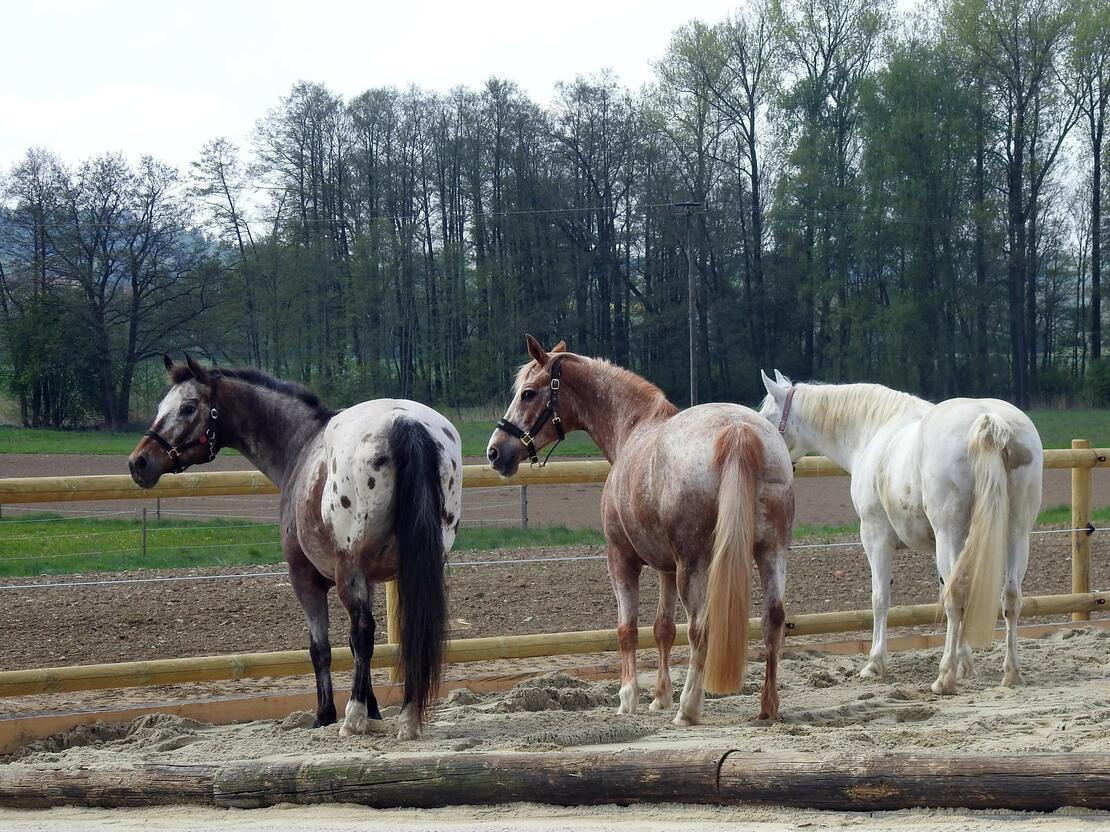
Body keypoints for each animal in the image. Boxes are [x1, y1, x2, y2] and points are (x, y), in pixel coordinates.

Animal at [128, 355, 463, 739]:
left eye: (188, 407)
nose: (139, 462)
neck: (302, 444)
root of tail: (404, 422)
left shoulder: (306, 579)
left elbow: (323, 648)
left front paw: (327, 713)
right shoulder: (371, 579)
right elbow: (355, 646)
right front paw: (375, 711)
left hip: (349, 570)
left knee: (363, 632)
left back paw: (353, 718)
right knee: (409, 632)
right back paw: (407, 717)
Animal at [486, 337, 794, 724]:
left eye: (528, 393)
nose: (495, 452)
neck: (632, 427)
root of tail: (738, 429)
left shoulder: (621, 559)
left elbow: (627, 630)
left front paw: (628, 697)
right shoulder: (666, 568)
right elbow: (663, 629)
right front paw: (659, 697)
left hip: (695, 565)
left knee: (700, 629)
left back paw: (688, 708)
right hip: (771, 552)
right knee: (773, 619)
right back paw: (768, 706)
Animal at [758, 370, 1043, 695]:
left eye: (768, 417)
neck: (873, 431)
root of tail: (988, 420)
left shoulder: (875, 536)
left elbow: (881, 598)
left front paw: (875, 663)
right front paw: (965, 663)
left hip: (950, 533)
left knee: (956, 597)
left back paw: (944, 677)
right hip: (1016, 534)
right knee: (1010, 596)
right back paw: (1011, 673)